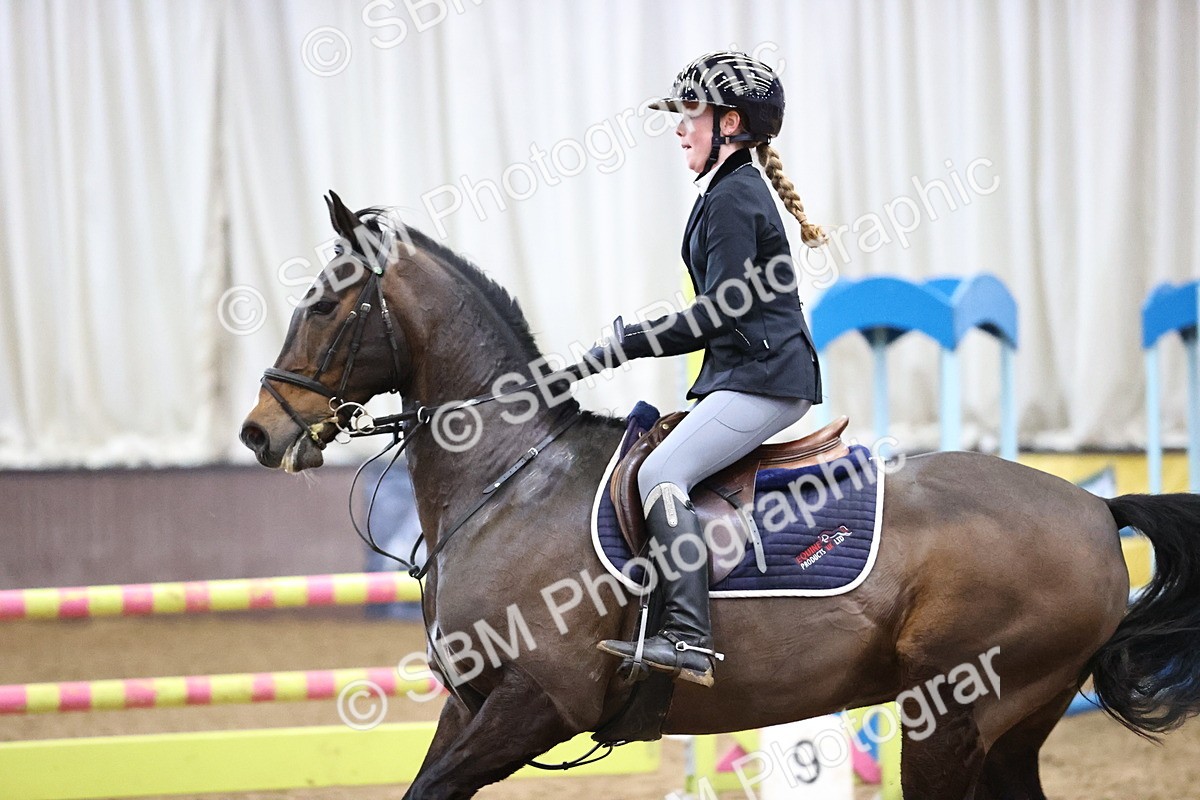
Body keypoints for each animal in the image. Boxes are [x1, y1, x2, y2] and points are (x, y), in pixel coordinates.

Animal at [240, 193, 1200, 800]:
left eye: (322, 306)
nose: (259, 432)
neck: (512, 479)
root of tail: (1093, 508)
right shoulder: (472, 705)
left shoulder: (534, 704)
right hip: (1014, 724)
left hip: (954, 715)